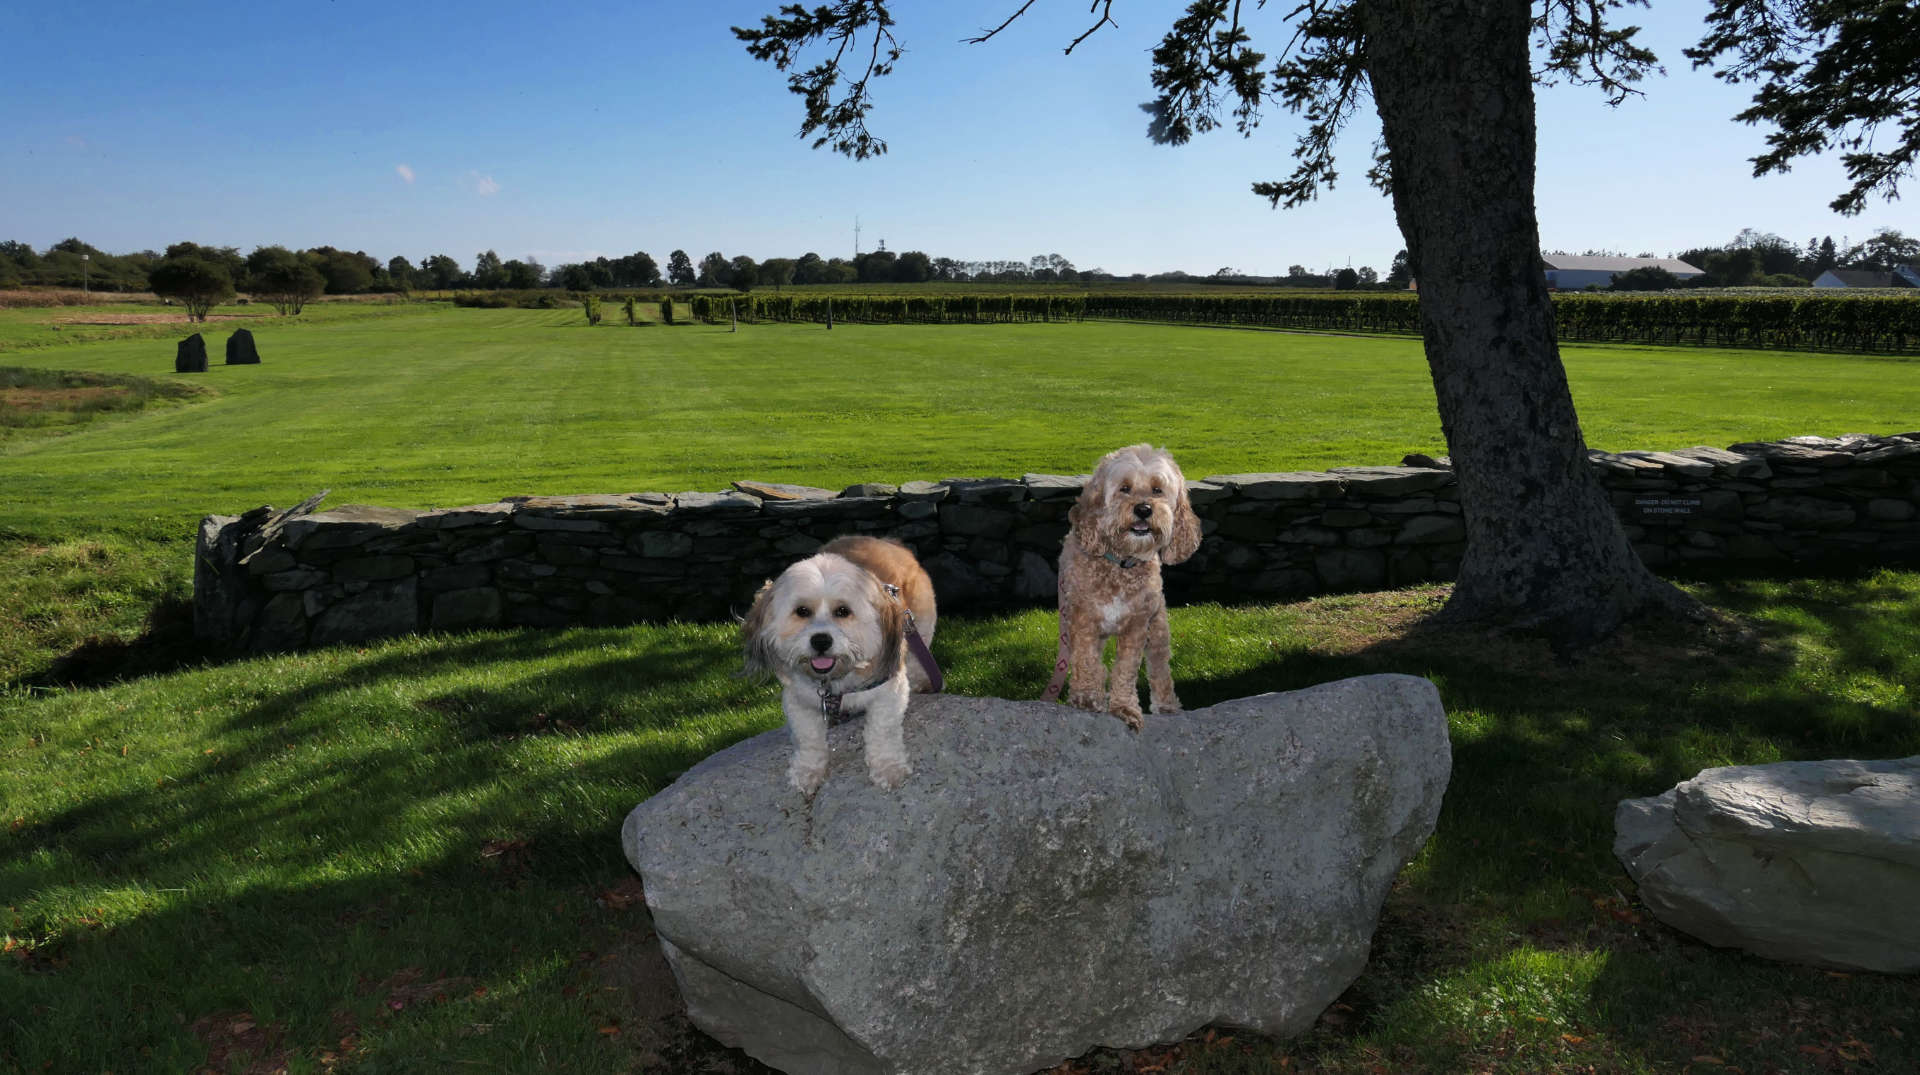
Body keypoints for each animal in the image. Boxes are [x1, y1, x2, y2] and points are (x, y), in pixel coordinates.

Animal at [741, 533, 936, 794]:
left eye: (843, 611)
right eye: (802, 611)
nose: (821, 640)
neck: (837, 681)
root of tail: (889, 542)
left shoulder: (889, 691)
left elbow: (882, 731)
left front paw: (888, 767)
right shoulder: (797, 699)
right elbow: (808, 739)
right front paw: (808, 771)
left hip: (919, 623)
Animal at [1052, 443, 1198, 729]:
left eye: (1157, 489)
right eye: (1125, 488)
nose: (1144, 509)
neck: (1119, 564)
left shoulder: (1137, 626)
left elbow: (1125, 670)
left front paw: (1123, 707)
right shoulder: (1083, 619)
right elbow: (1086, 660)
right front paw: (1087, 697)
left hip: (1158, 627)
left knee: (1160, 668)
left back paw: (1166, 705)